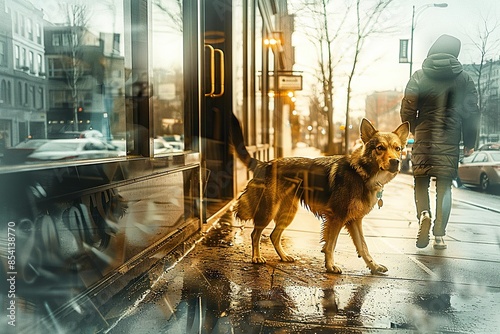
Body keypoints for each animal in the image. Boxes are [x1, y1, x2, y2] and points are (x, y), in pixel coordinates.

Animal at [230, 117, 410, 274]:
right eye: (380, 148)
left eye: (398, 149)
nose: (396, 162)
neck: (361, 173)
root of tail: (265, 163)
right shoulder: (337, 217)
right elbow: (331, 244)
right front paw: (330, 266)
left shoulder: (355, 220)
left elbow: (363, 246)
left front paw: (374, 266)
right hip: (268, 211)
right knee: (255, 234)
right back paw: (256, 257)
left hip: (288, 212)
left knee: (274, 236)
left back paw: (283, 256)